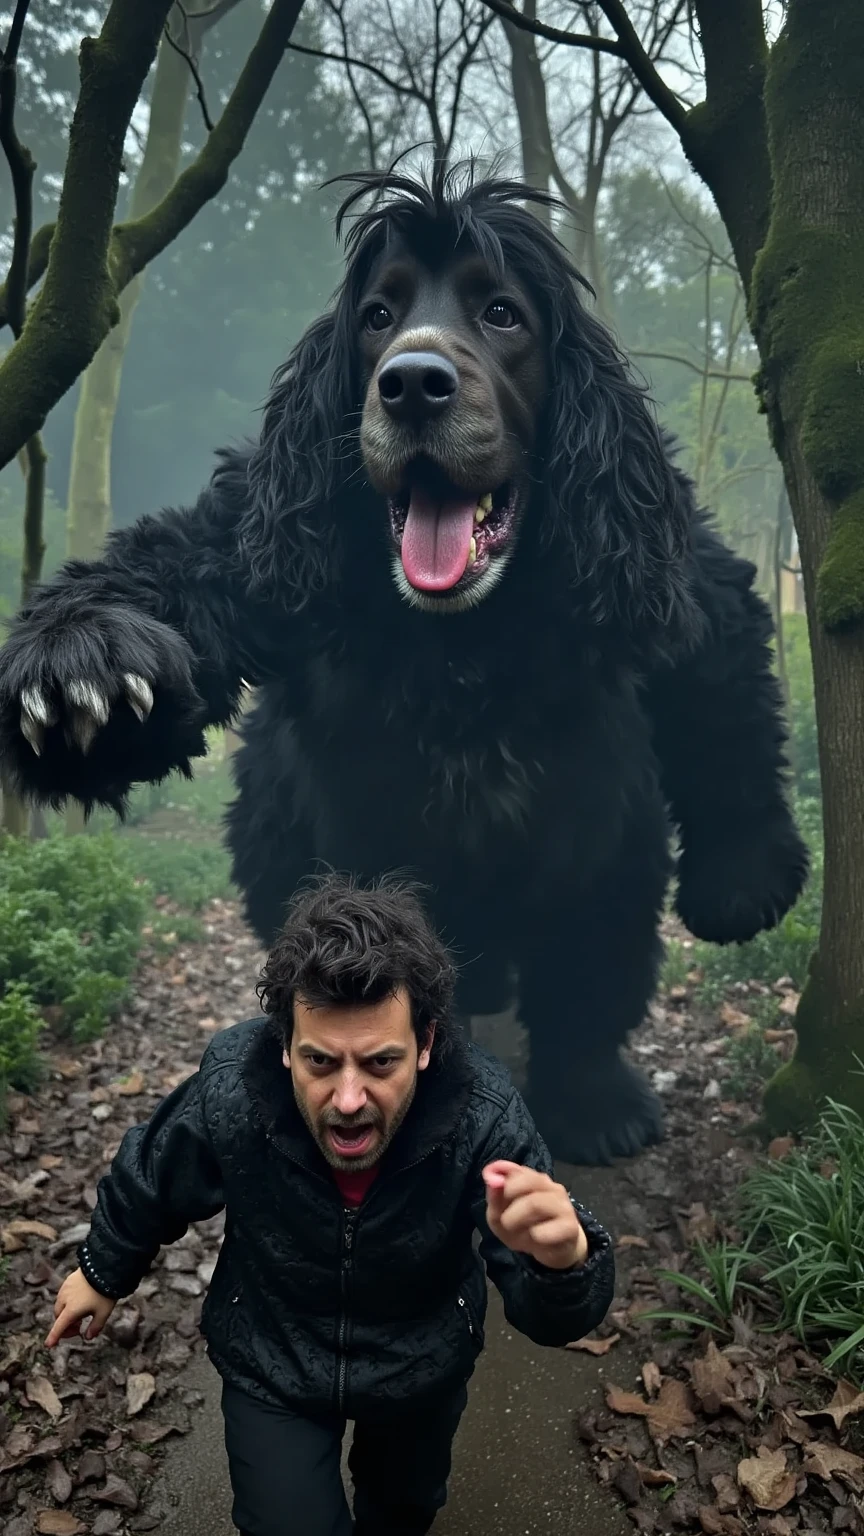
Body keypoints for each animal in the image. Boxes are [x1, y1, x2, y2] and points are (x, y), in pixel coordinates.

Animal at [1, 171, 805, 1161]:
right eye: (378, 316)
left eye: (502, 313)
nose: (414, 383)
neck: (462, 638)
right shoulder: (256, 542)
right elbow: (171, 567)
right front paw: (85, 669)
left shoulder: (658, 568)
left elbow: (718, 666)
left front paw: (738, 888)